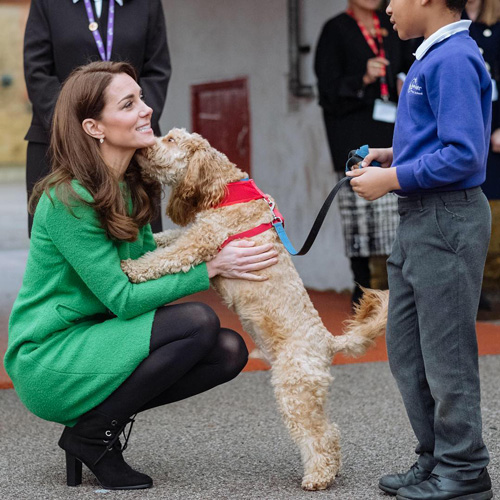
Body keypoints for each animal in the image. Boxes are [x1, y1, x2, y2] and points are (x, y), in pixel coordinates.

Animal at [121, 127, 386, 490]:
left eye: (171, 140)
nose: (144, 143)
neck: (227, 189)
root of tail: (328, 342)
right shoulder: (193, 231)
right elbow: (167, 239)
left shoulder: (201, 240)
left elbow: (165, 257)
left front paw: (132, 267)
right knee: (329, 433)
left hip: (294, 393)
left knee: (318, 435)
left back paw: (317, 477)